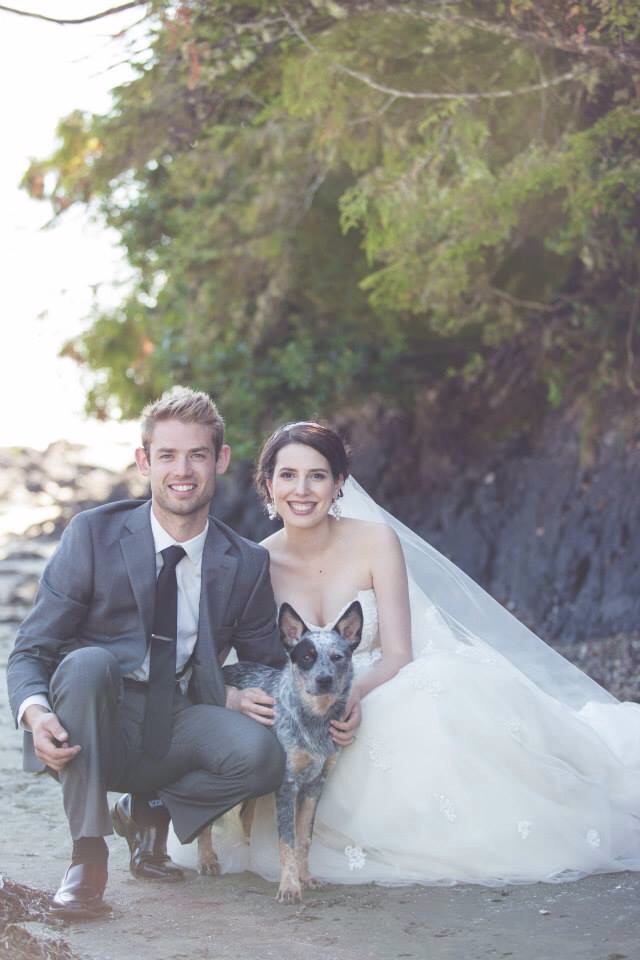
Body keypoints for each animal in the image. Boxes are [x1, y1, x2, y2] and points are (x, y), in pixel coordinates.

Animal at [195, 596, 362, 904]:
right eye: (307, 656)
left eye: (337, 656)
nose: (324, 680)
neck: (314, 722)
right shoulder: (287, 784)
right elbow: (287, 840)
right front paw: (289, 887)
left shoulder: (315, 786)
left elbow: (304, 838)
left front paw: (306, 878)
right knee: (206, 816)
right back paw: (207, 858)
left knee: (245, 816)